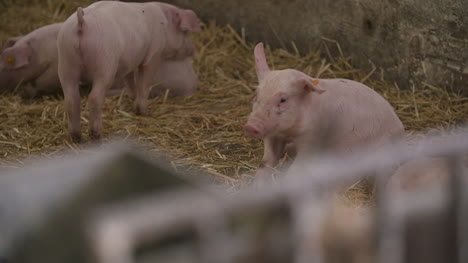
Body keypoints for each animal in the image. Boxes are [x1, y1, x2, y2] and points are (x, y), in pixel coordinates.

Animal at [57, 0, 200, 142]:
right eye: (185, 32)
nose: (193, 50)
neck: (165, 23)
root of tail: (82, 22)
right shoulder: (153, 54)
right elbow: (144, 83)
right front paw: (143, 112)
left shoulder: (129, 61)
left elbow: (130, 79)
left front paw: (132, 98)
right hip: (104, 63)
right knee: (94, 98)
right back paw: (96, 135)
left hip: (66, 62)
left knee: (71, 99)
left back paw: (77, 137)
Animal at [243, 43, 404, 184]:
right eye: (256, 95)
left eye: (283, 99)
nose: (251, 126)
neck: (289, 132)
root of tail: (401, 129)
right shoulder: (273, 136)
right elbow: (265, 162)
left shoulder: (313, 136)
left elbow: (296, 168)